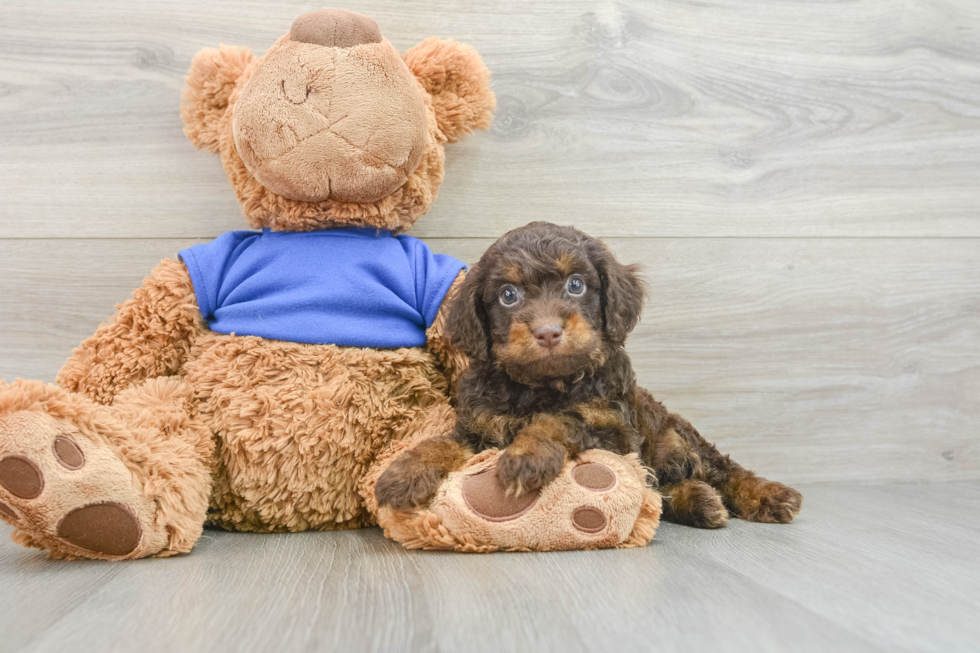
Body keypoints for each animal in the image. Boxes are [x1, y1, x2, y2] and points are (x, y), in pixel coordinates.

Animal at [378, 222, 804, 528]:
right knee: (662, 491)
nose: (548, 332)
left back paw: (770, 495)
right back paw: (699, 501)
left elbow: (562, 418)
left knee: (724, 469)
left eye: (576, 284)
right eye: (508, 295)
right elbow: (441, 444)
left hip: (677, 437)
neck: (543, 385)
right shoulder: (477, 429)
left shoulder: (612, 428)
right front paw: (403, 472)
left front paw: (527, 456)